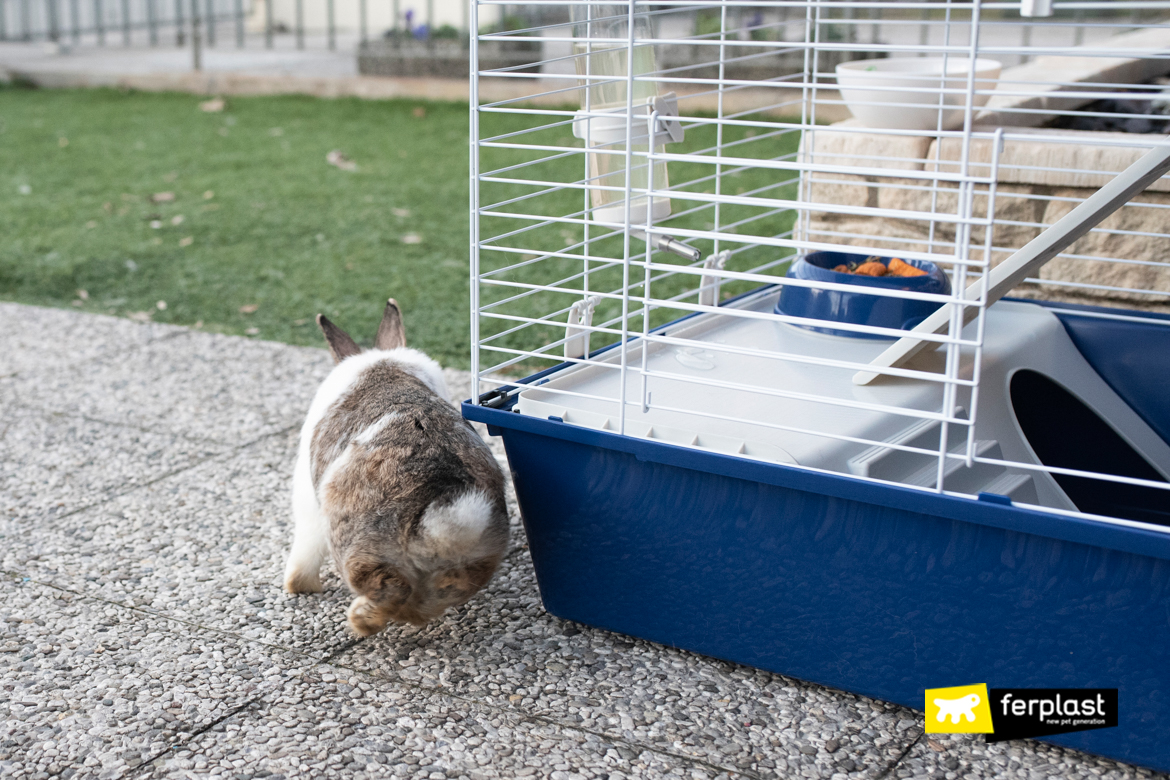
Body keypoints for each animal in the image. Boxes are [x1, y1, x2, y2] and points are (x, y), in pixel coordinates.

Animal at [283, 299, 507, 636]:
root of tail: (443, 520)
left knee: (389, 589)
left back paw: (360, 618)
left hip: (358, 545)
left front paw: (298, 585)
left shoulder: (308, 502)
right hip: (472, 561)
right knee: (440, 593)